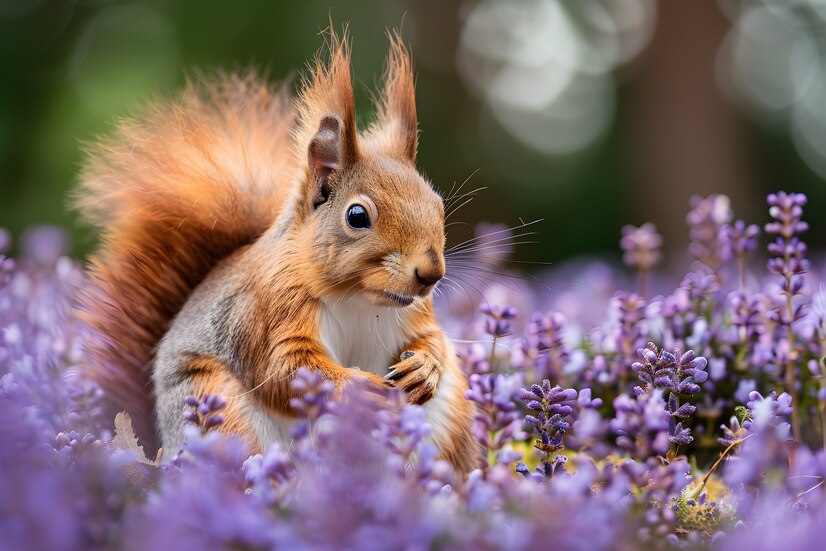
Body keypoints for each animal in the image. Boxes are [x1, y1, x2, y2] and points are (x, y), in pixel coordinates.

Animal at [77, 30, 476, 474]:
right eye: (357, 215)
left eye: (437, 204)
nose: (431, 273)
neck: (359, 298)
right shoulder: (268, 311)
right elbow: (284, 370)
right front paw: (358, 388)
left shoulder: (415, 315)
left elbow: (431, 340)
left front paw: (424, 368)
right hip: (216, 404)